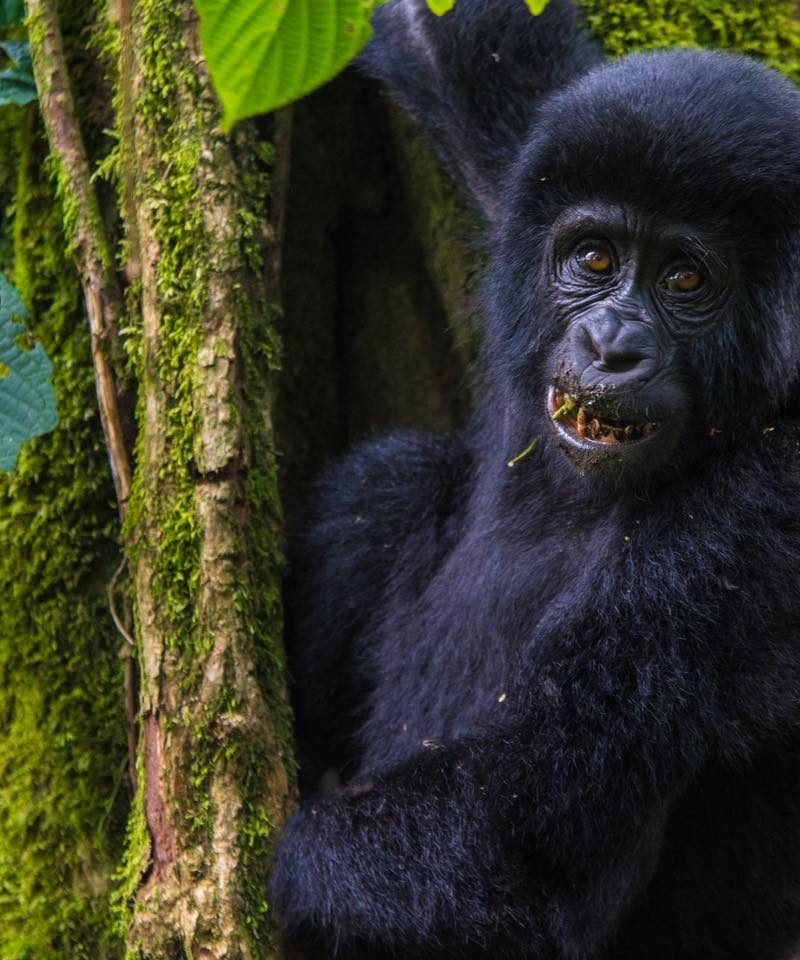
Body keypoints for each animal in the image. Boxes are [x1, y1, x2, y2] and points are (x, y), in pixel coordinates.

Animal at [270, 3, 800, 956]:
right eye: (594, 259)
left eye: (685, 277)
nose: (611, 345)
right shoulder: (538, 155)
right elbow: (450, 40)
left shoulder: (769, 511)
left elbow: (513, 842)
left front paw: (297, 855)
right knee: (390, 481)